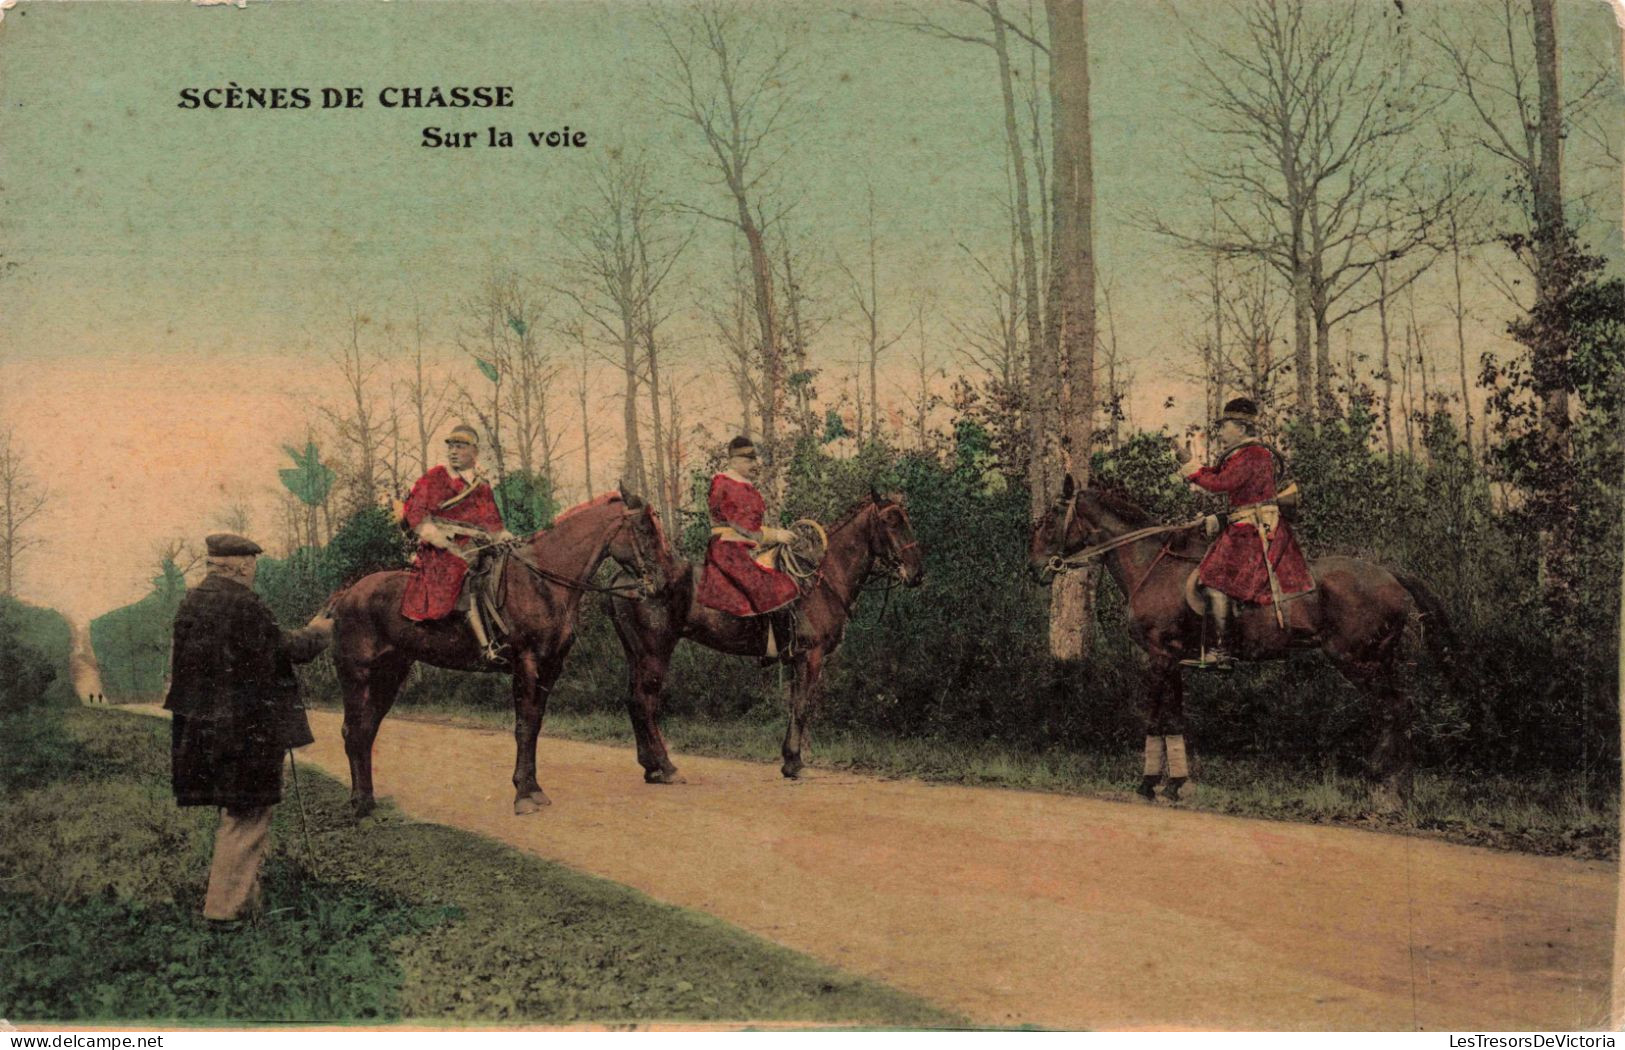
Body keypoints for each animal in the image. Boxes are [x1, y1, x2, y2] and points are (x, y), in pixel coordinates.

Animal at [333, 490, 676, 819]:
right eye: (645, 528)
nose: (664, 581)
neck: (542, 583)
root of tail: (347, 595)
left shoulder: (550, 667)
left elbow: (534, 724)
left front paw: (534, 789)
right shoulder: (525, 664)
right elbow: (523, 726)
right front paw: (523, 795)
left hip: (389, 676)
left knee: (366, 730)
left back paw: (368, 802)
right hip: (356, 677)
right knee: (353, 731)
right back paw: (359, 805)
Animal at [611, 490, 929, 780]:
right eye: (890, 521)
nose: (917, 573)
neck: (821, 582)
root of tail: (629, 576)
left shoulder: (796, 661)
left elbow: (794, 705)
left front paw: (789, 759)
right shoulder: (810, 657)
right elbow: (801, 706)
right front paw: (795, 763)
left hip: (636, 653)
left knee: (633, 701)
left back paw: (651, 767)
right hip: (655, 652)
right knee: (645, 702)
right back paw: (665, 767)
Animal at [1027, 481, 1462, 809]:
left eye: (1049, 520)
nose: (1034, 569)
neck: (1152, 565)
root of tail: (1390, 574)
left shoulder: (1159, 657)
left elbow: (1156, 719)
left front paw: (1149, 782)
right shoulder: (1174, 660)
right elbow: (1175, 719)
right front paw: (1177, 783)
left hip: (1357, 661)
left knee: (1393, 709)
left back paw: (1382, 783)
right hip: (1378, 661)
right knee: (1400, 710)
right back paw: (1400, 788)